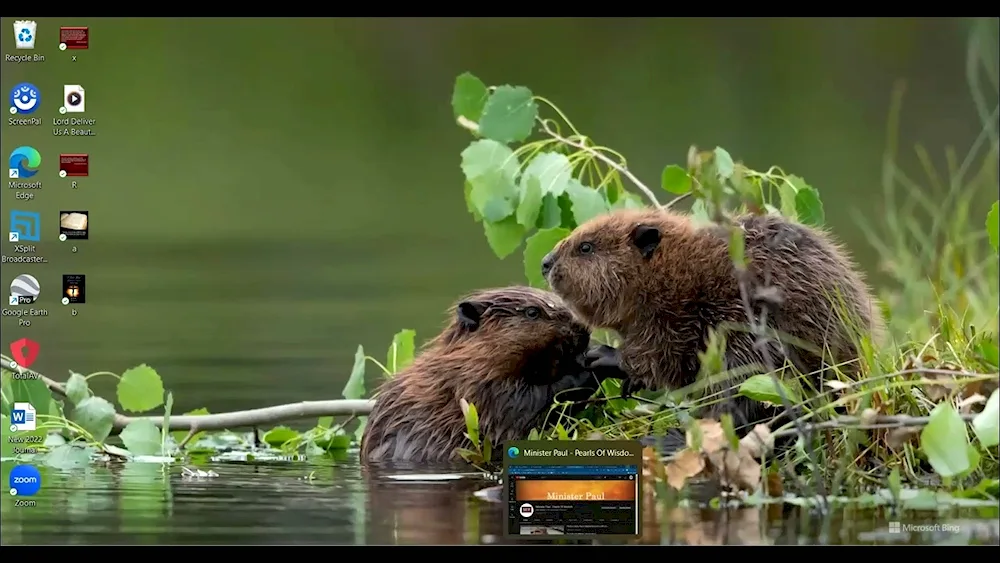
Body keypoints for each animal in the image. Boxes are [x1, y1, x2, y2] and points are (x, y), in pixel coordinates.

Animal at [360, 286, 608, 462]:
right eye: (532, 312)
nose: (583, 329)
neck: (466, 359)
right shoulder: (474, 386)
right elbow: (521, 406)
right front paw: (588, 367)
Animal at [540, 209, 884, 438]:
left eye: (586, 247)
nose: (545, 262)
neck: (676, 268)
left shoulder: (682, 311)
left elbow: (666, 357)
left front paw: (605, 357)